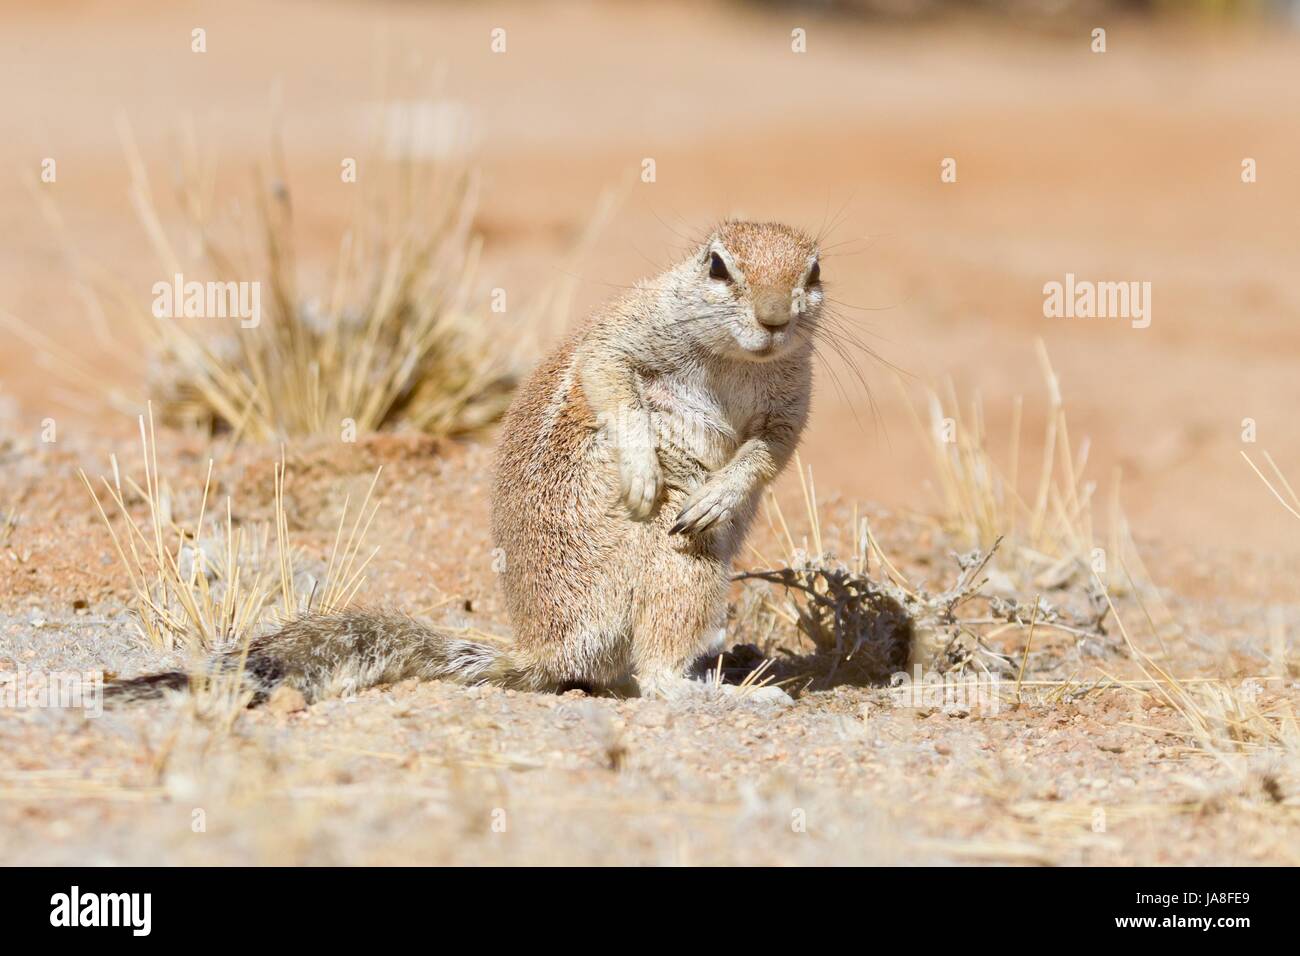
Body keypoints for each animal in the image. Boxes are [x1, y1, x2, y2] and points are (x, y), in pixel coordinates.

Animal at [109, 221, 821, 707]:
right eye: (718, 266)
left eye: (813, 271)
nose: (773, 318)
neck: (740, 363)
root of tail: (549, 644)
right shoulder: (629, 331)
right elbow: (609, 375)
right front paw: (646, 469)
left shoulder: (792, 402)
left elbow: (771, 450)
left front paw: (727, 489)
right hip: (680, 559)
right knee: (658, 676)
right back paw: (736, 694)